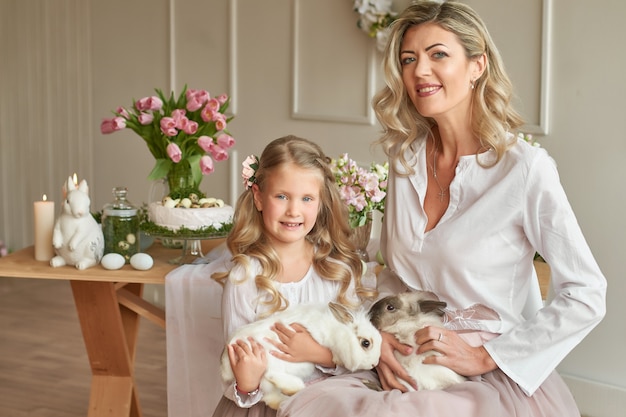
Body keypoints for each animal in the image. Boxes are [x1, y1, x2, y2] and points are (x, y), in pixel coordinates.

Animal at [222, 300, 382, 408]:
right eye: (366, 343)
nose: (374, 363)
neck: (336, 329)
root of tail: (225, 364)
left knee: (273, 398)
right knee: (277, 381)